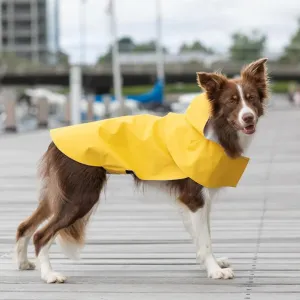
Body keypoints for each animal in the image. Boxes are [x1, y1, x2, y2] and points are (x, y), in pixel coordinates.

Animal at [14, 56, 270, 284]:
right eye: (231, 102)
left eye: (251, 99)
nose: (248, 118)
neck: (216, 130)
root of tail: (54, 140)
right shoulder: (194, 197)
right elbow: (205, 239)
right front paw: (215, 270)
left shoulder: (200, 200)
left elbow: (203, 235)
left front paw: (211, 263)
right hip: (80, 196)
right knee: (41, 235)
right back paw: (49, 275)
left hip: (59, 195)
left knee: (25, 225)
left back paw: (23, 263)